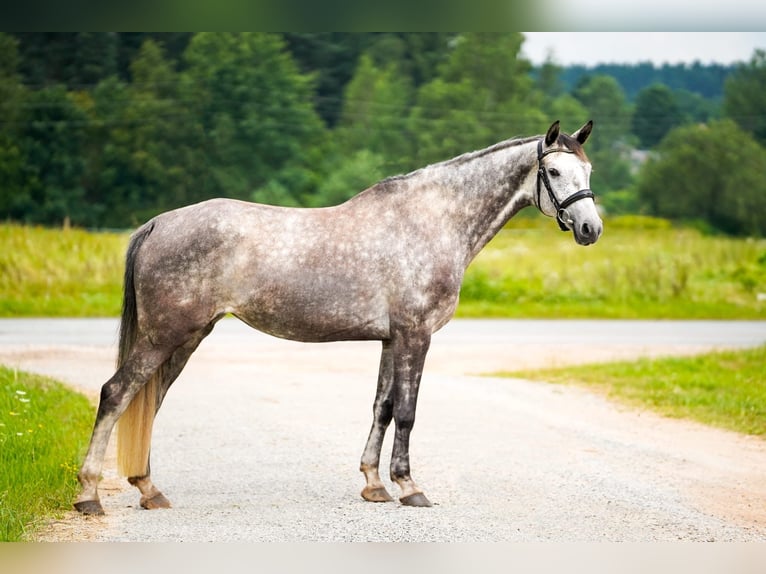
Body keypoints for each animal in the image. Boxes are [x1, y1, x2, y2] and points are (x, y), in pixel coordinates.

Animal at [74, 120, 602, 516]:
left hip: (186, 337)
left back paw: (148, 489)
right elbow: (407, 412)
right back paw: (89, 494)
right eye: (553, 170)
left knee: (147, 401)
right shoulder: (415, 335)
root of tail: (158, 223)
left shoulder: (391, 339)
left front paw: (374, 484)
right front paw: (409, 487)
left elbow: (382, 408)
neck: (433, 221)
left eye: (588, 169)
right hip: (165, 335)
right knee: (116, 393)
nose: (590, 228)